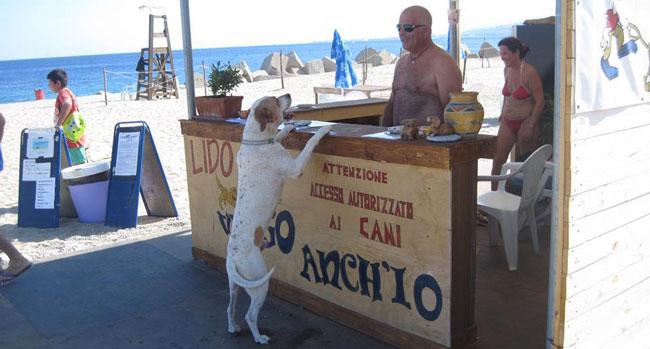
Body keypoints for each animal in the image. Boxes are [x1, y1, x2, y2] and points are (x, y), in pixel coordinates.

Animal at [227, 92, 330, 342]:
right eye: (275, 100)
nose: (288, 94)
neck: (256, 141)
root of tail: (233, 259)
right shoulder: (296, 168)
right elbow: (311, 144)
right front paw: (323, 131)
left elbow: (280, 134)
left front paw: (289, 128)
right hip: (259, 285)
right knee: (250, 315)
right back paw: (259, 338)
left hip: (235, 286)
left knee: (230, 307)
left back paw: (233, 327)